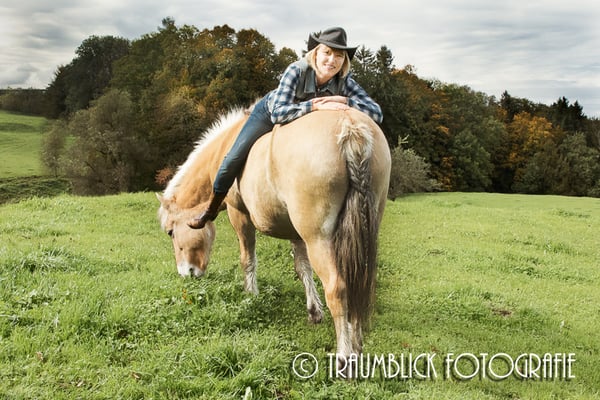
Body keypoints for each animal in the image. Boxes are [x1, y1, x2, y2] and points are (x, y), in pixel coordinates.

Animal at [157, 106, 391, 360]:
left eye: (170, 232)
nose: (186, 272)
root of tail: (350, 128)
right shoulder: (295, 232)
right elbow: (302, 268)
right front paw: (314, 311)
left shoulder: (239, 215)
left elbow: (247, 259)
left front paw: (250, 295)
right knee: (359, 282)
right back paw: (356, 345)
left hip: (318, 239)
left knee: (337, 289)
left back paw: (345, 355)